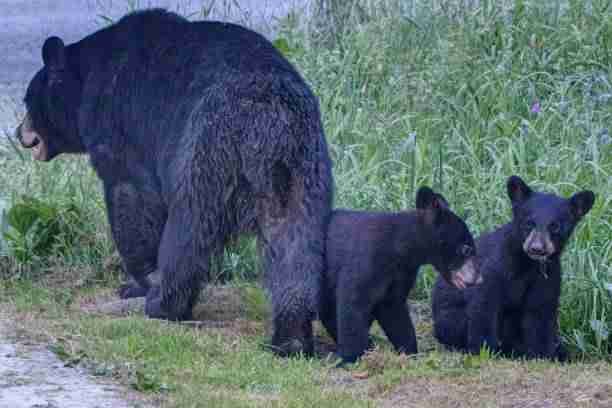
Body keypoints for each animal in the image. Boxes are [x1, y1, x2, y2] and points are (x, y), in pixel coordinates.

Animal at [16, 7, 334, 356]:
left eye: (26, 100)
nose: (18, 133)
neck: (86, 82)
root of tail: (265, 117)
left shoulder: (117, 126)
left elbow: (131, 198)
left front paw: (138, 283)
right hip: (301, 169)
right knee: (295, 240)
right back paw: (292, 337)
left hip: (205, 150)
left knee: (188, 230)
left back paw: (164, 303)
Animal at [322, 186, 480, 364]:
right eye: (466, 249)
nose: (478, 277)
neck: (399, 249)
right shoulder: (366, 261)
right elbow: (353, 303)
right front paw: (349, 358)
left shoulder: (402, 273)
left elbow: (394, 309)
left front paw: (410, 353)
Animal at [432, 175, 596, 360]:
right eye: (528, 223)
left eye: (555, 226)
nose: (537, 248)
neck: (528, 264)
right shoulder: (495, 268)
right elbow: (484, 306)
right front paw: (483, 349)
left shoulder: (547, 277)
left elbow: (540, 315)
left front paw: (543, 354)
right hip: (450, 318)